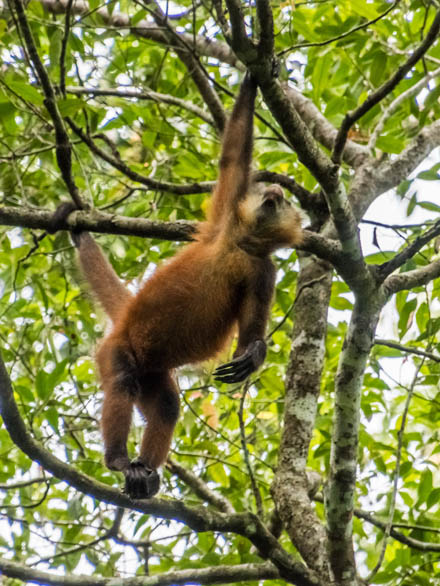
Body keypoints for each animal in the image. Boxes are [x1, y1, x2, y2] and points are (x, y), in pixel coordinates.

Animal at [61, 75, 302, 498]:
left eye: (285, 200)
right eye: (268, 193)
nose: (275, 193)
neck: (241, 244)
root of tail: (124, 322)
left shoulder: (263, 268)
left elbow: (252, 326)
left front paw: (254, 353)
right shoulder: (226, 217)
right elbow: (233, 156)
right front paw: (253, 75)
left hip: (154, 373)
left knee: (166, 407)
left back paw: (145, 471)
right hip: (117, 349)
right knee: (121, 381)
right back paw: (118, 460)